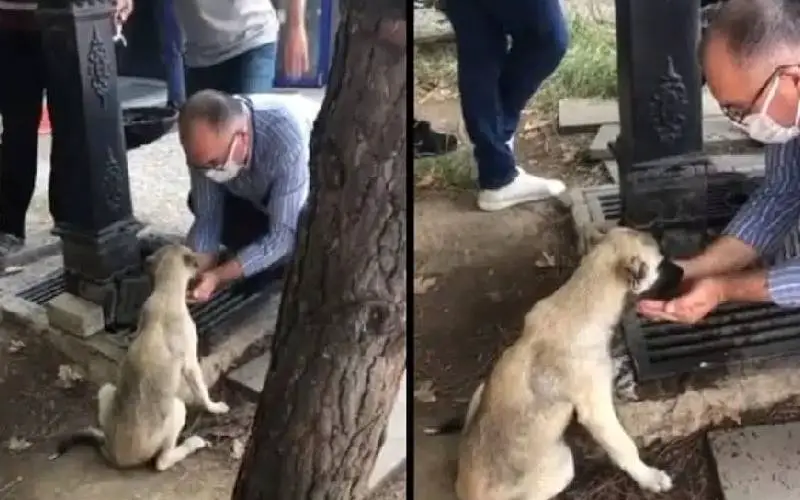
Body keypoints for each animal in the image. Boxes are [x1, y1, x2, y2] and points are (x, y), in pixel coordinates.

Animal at [52, 244, 230, 470]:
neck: (165, 292)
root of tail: (112, 452)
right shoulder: (191, 364)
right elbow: (202, 392)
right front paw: (215, 407)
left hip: (107, 389)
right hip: (177, 408)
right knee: (162, 461)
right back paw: (193, 443)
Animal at [428, 228, 684, 500]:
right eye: (661, 263)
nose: (684, 271)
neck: (582, 300)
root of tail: (465, 491)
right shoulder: (596, 410)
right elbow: (624, 446)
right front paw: (649, 477)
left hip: (481, 389)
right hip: (562, 465)